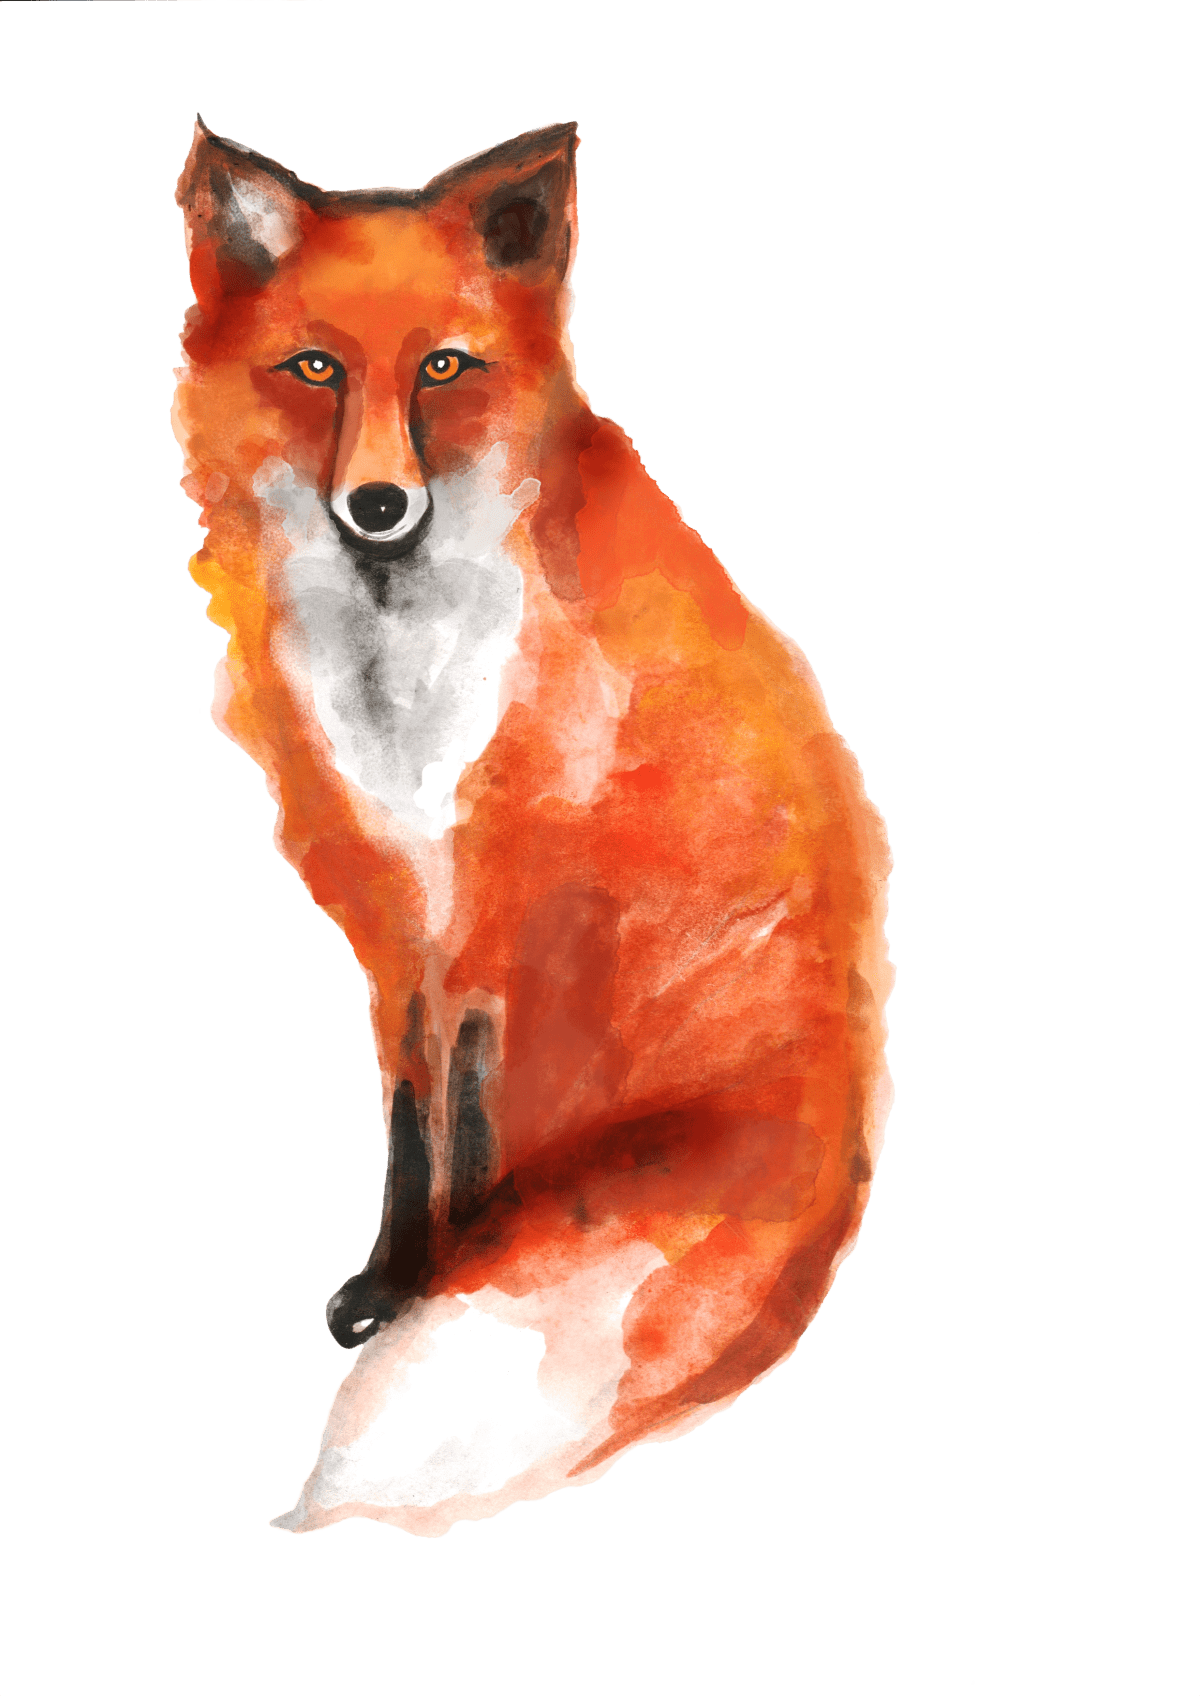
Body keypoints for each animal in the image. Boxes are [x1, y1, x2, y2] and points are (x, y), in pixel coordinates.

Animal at [172, 116, 894, 1537]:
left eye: (444, 369)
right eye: (317, 369)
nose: (378, 507)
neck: (400, 685)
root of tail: (842, 1149)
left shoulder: (496, 910)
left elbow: (466, 1131)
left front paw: (435, 1284)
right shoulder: (398, 919)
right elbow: (410, 1125)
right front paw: (386, 1282)